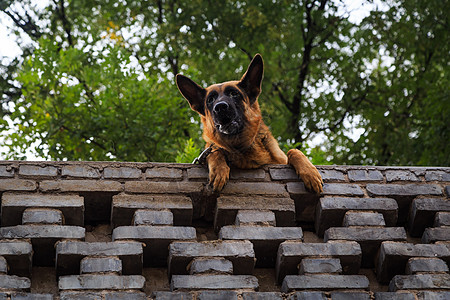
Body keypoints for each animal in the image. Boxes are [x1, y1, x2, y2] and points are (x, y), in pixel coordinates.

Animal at [177, 53, 324, 193]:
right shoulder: (213, 148)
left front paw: (310, 172)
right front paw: (219, 169)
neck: (241, 146)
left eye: (234, 94)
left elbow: (293, 151)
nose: (220, 107)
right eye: (210, 100)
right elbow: (215, 152)